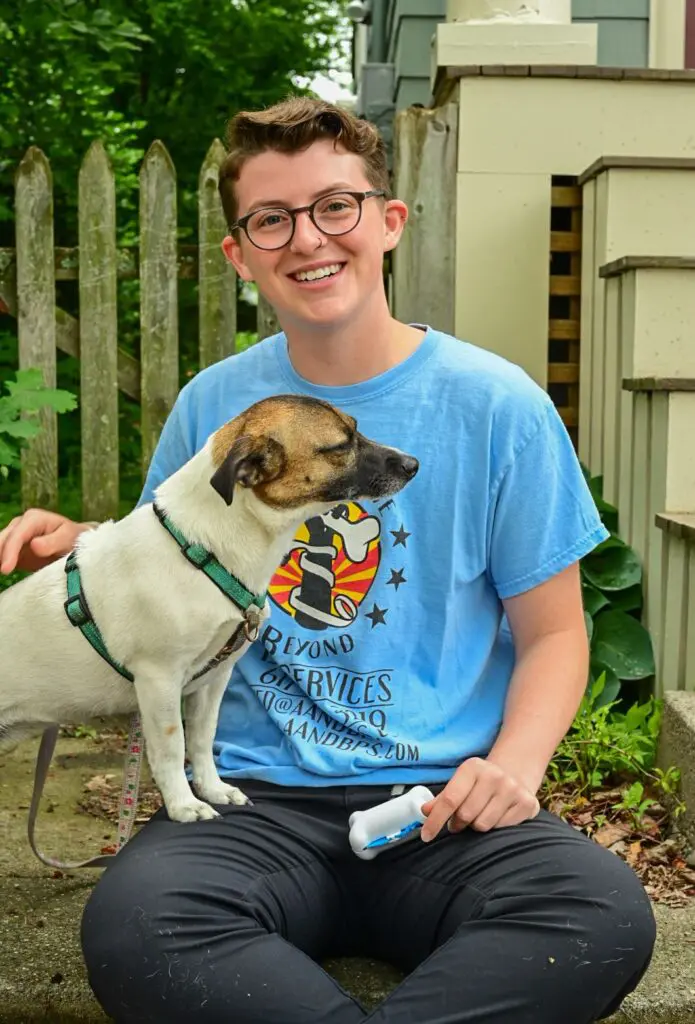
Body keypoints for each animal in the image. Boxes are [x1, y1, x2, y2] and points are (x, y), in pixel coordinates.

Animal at [0, 393, 419, 823]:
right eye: (339, 445)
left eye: (356, 429)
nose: (413, 464)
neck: (201, 550)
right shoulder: (159, 680)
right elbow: (172, 750)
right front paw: (184, 805)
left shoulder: (212, 679)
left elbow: (202, 740)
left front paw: (213, 789)